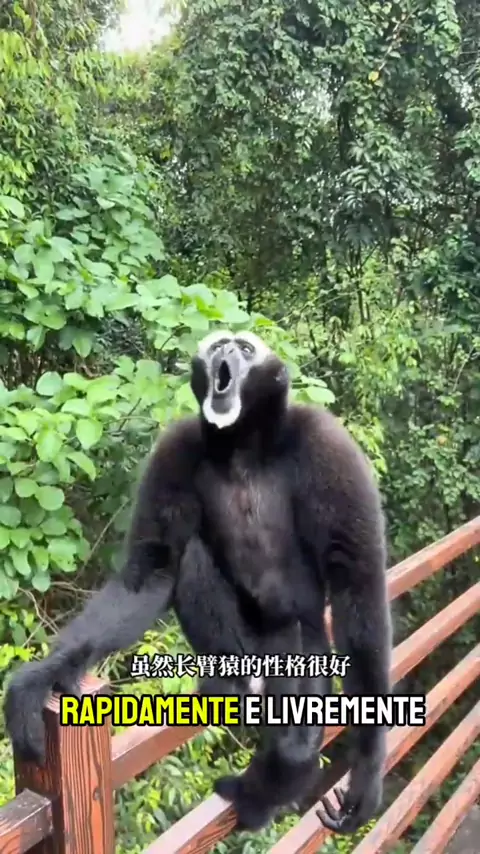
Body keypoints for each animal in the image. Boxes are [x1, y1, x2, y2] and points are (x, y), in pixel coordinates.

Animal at [3, 329, 392, 834]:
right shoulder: (177, 446)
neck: (244, 447)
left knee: (294, 732)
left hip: (297, 645)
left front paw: (366, 772)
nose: (225, 352)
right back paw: (232, 684)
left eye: (244, 349)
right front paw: (44, 676)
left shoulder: (327, 444)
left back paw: (260, 794)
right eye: (220, 344)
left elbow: (357, 581)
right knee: (190, 559)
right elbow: (153, 569)